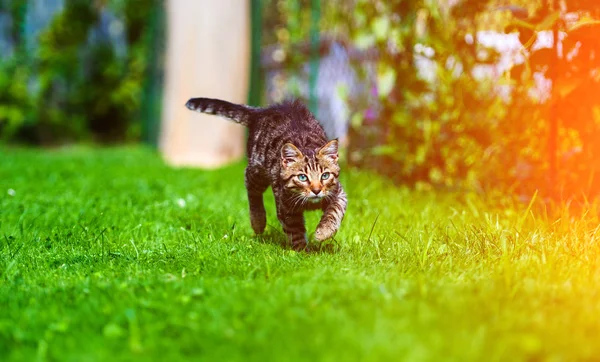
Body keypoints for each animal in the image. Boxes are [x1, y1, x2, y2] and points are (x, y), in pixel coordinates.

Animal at [184, 96, 346, 250]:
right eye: (302, 177)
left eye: (325, 175)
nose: (316, 190)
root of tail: (263, 111)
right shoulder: (285, 206)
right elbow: (295, 230)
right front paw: (302, 252)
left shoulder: (338, 193)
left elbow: (335, 211)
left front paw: (323, 232)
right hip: (258, 169)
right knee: (250, 184)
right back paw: (258, 221)